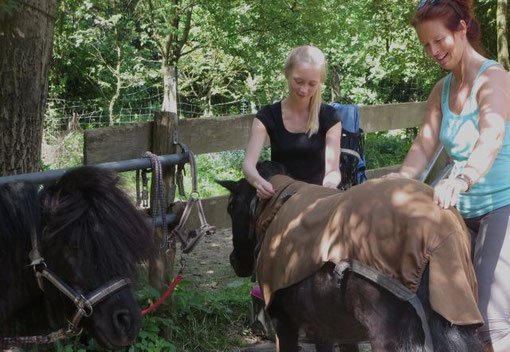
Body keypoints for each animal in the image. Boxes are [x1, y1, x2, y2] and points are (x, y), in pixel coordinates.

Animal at [217, 162, 484, 352]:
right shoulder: (331, 329)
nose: (234, 261)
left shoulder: (285, 325)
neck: (276, 210)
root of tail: (436, 231)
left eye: (230, 208)